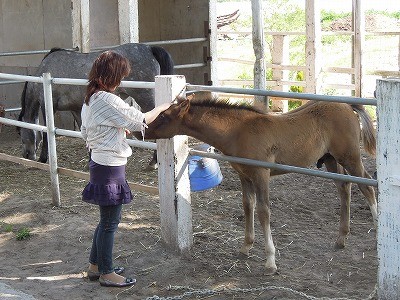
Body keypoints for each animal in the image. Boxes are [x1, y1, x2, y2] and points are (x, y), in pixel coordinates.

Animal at [17, 43, 173, 166]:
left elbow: (45, 132)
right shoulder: (76, 108)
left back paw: (154, 162)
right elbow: (85, 134)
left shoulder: (48, 106)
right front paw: (90, 160)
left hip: (144, 97)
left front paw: (43, 158)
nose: (26, 155)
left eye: (20, 131)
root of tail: (149, 48)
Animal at [136, 96, 376, 274]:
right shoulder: (245, 176)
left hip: (350, 157)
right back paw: (341, 238)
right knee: (344, 188)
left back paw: (375, 227)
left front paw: (270, 261)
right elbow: (247, 206)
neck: (237, 131)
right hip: (330, 159)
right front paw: (246, 246)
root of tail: (347, 105)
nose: (142, 130)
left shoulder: (261, 175)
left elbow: (263, 211)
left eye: (164, 116)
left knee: (367, 185)